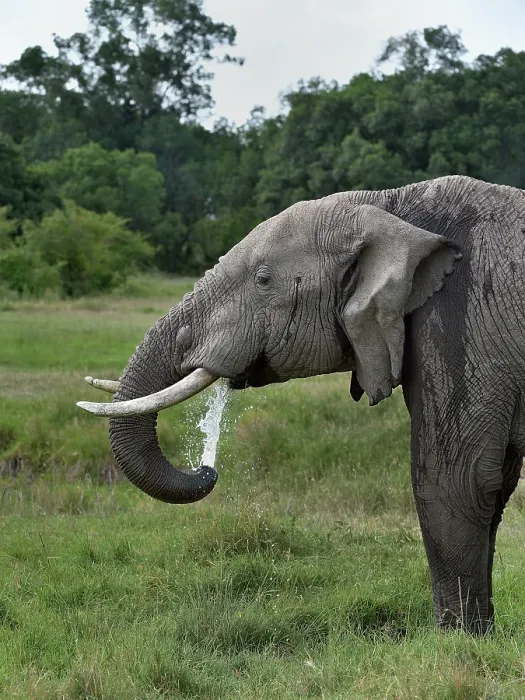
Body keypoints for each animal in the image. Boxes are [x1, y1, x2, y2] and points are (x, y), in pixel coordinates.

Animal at [78, 174, 525, 634]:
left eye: (262, 280)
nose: (206, 469)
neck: (392, 205)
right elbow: (496, 483)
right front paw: (478, 635)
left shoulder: (466, 318)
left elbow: (459, 478)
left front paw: (461, 638)